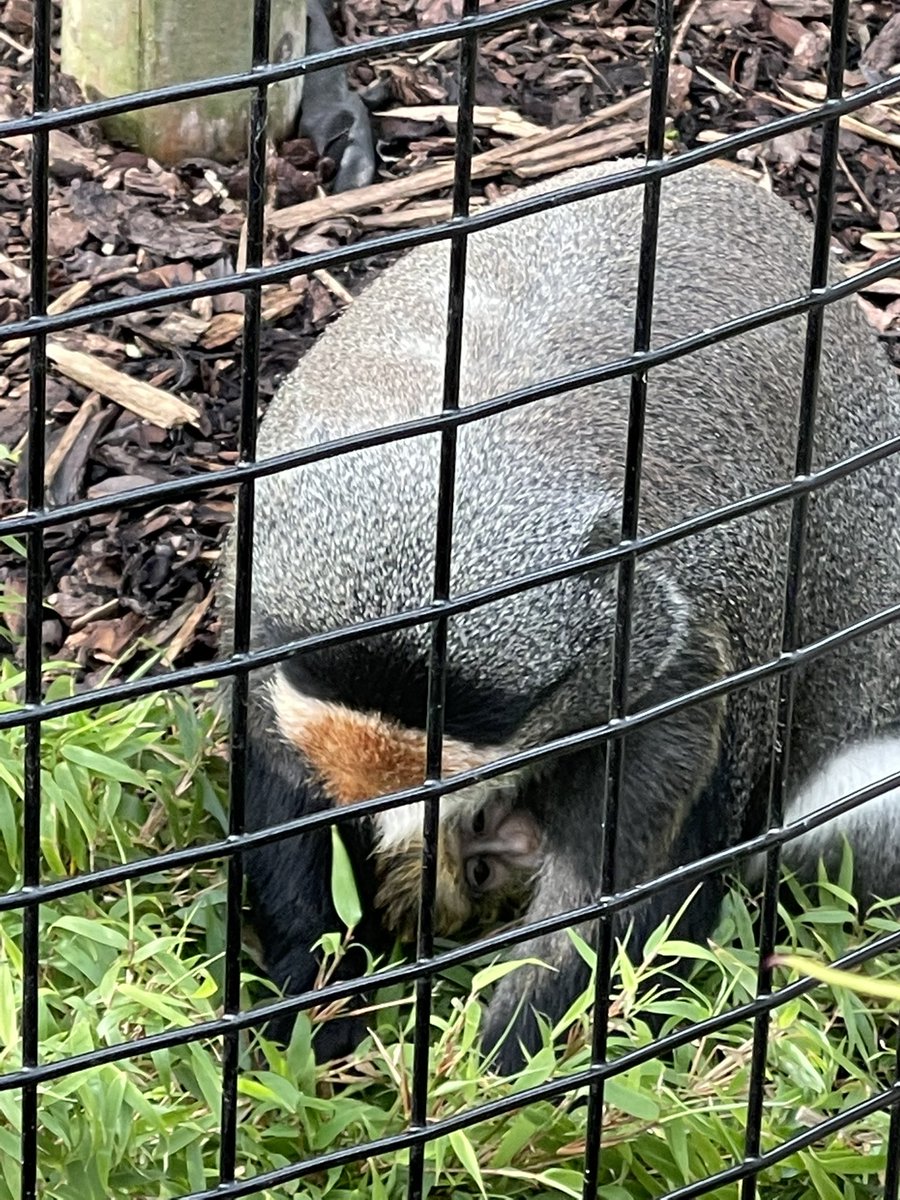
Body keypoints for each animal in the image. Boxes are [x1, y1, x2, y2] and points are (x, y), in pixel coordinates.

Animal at [219, 157, 900, 1075]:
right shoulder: (264, 632)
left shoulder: (676, 652)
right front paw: (316, 997)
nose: (435, 828)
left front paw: (500, 1065)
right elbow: (282, 787)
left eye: (493, 719)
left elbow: (626, 881)